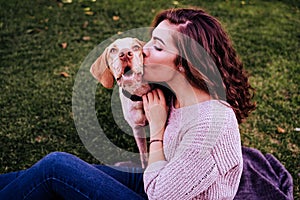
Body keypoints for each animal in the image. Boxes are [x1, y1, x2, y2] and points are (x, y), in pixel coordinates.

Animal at [89, 37, 150, 167]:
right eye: (113, 50)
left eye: (136, 47)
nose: (125, 54)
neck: (139, 95)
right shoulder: (137, 129)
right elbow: (144, 157)